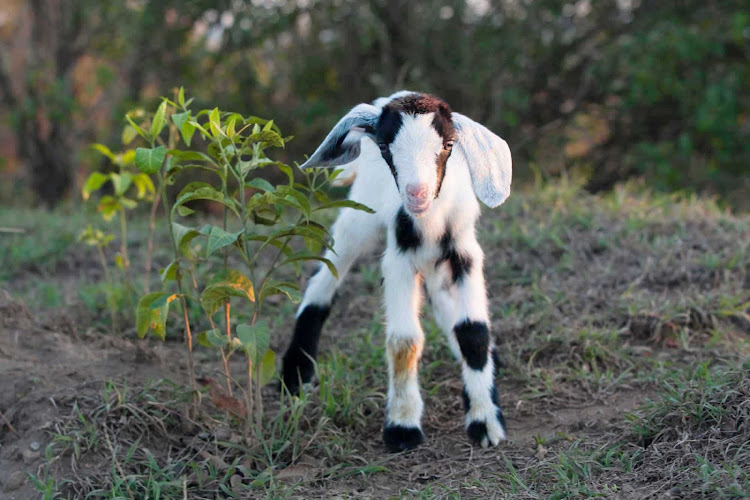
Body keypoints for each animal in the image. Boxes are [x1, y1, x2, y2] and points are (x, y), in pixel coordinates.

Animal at [280, 91, 516, 454]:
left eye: (448, 144)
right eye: (384, 146)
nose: (417, 193)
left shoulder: (464, 254)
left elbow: (473, 331)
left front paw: (485, 421)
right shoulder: (398, 259)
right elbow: (405, 340)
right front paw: (403, 427)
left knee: (441, 300)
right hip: (358, 218)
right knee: (323, 279)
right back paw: (296, 371)